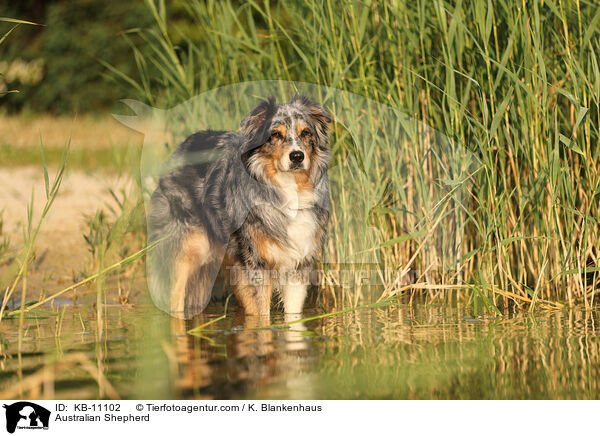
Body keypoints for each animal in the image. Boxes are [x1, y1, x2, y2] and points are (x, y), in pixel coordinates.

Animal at [147, 95, 330, 318]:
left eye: (306, 133)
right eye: (275, 134)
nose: (297, 156)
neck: (289, 190)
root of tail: (184, 145)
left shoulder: (299, 265)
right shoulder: (257, 264)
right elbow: (262, 315)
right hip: (188, 248)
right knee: (175, 296)